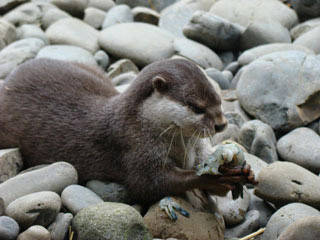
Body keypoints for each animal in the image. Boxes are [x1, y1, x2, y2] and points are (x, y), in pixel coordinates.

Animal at [0, 57, 250, 207]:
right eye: (196, 106)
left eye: (218, 98)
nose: (221, 124)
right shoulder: (135, 149)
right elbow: (152, 185)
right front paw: (215, 179)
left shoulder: (196, 148)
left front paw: (241, 168)